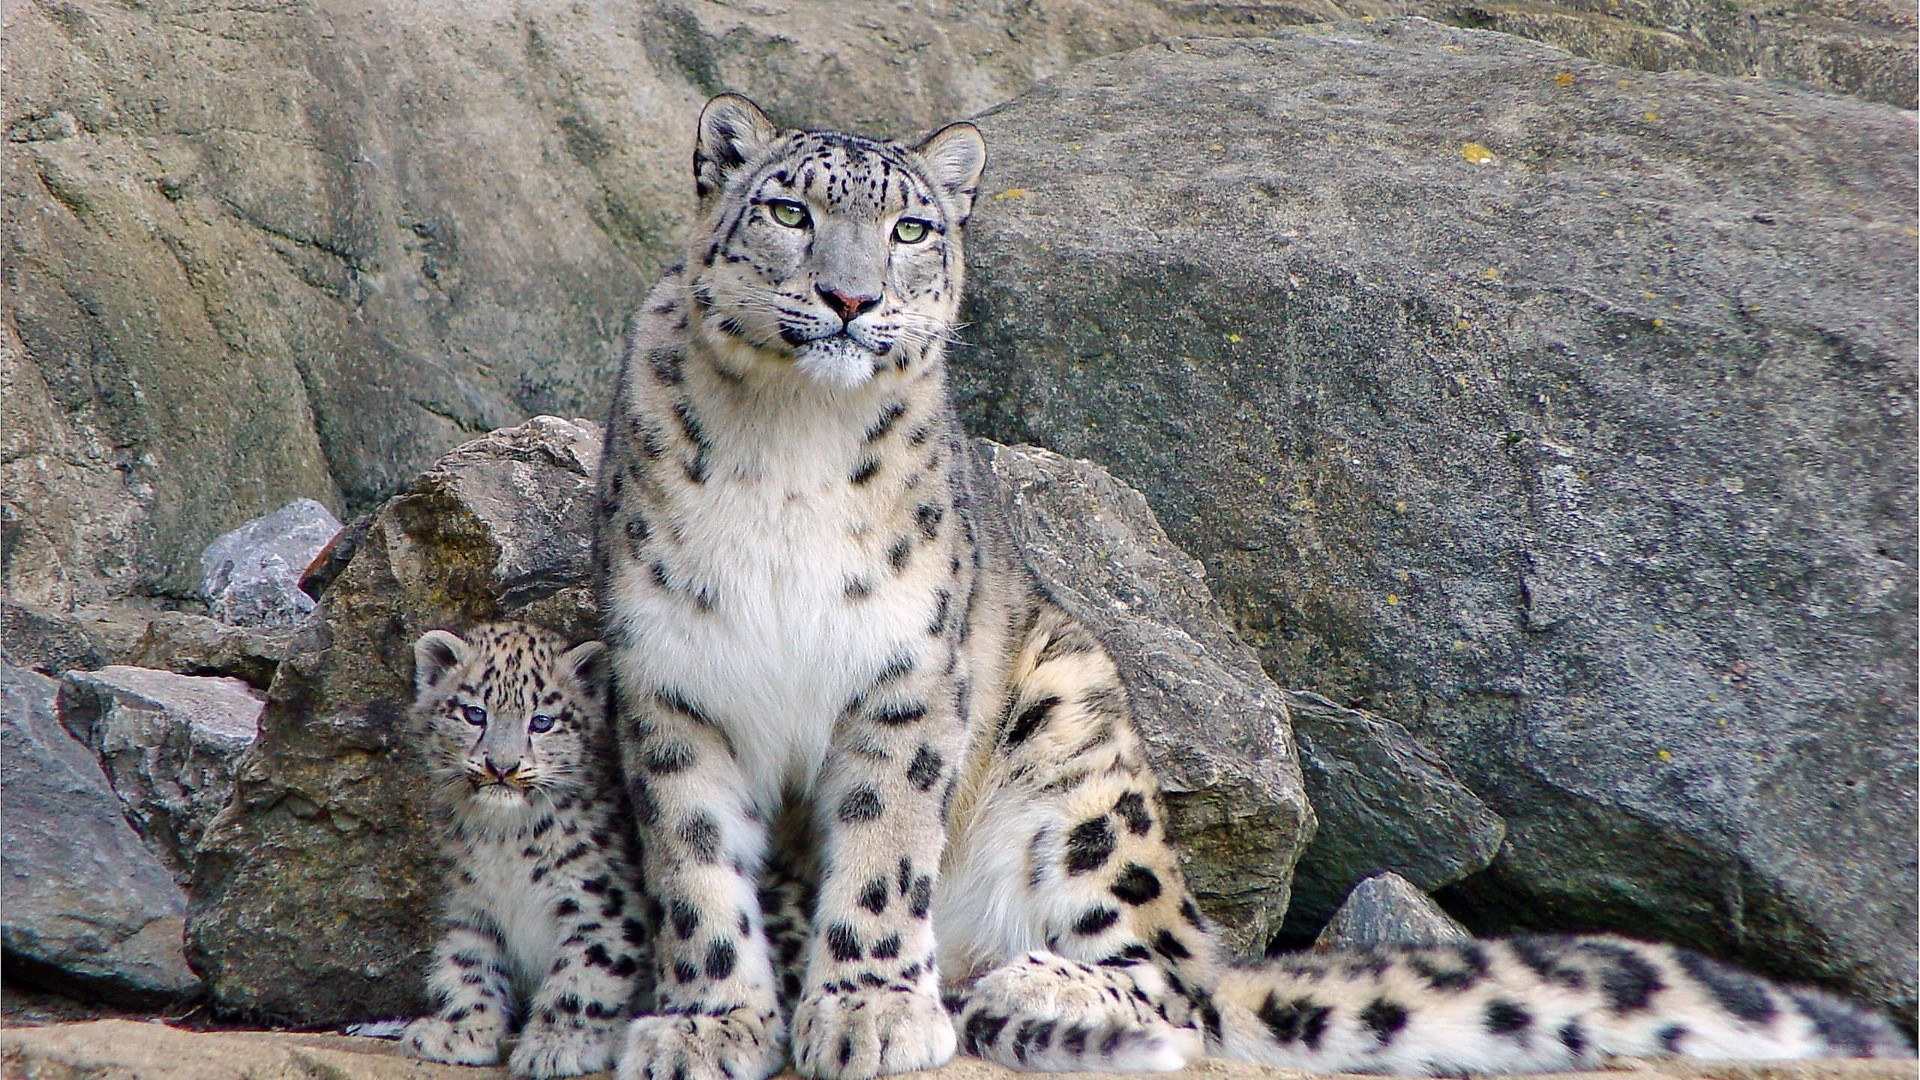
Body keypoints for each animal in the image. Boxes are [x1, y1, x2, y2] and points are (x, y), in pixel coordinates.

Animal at [401, 621, 651, 1078]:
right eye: (474, 713)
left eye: (542, 722)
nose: (502, 766)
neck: (505, 841)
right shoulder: (470, 903)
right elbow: (468, 964)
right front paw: (460, 1032)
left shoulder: (603, 905)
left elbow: (585, 974)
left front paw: (557, 1045)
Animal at [590, 92, 1912, 1080]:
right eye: (789, 210)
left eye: (911, 229)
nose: (851, 297)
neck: (789, 447)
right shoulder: (671, 679)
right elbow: (695, 865)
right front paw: (706, 1022)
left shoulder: (906, 679)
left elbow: (881, 851)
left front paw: (866, 1010)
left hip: (1077, 736)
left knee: (1178, 976)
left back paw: (1034, 988)